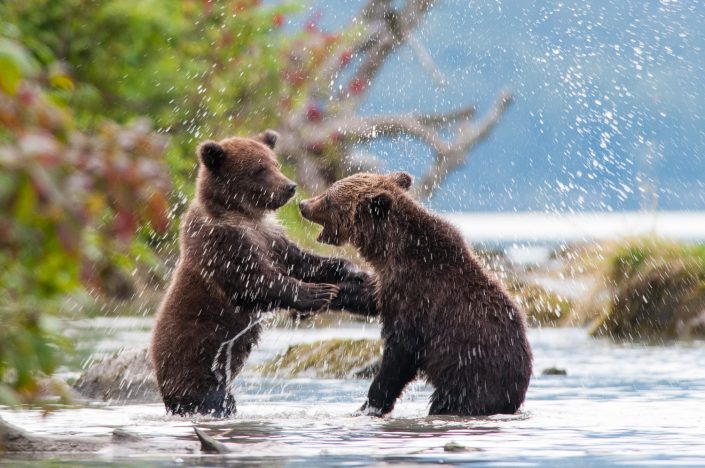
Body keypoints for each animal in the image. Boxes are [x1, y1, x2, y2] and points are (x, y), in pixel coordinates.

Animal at [151, 131, 376, 416]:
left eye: (274, 163)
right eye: (259, 169)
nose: (290, 186)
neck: (243, 215)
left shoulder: (270, 237)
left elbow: (301, 261)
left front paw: (351, 269)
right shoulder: (222, 243)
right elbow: (254, 282)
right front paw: (318, 293)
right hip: (194, 365)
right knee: (210, 398)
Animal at [298, 172, 532, 416]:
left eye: (328, 198)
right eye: (329, 191)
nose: (302, 204)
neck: (392, 251)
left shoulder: (419, 297)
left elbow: (401, 355)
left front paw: (369, 406)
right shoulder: (391, 285)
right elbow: (370, 297)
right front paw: (323, 295)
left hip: (471, 376)